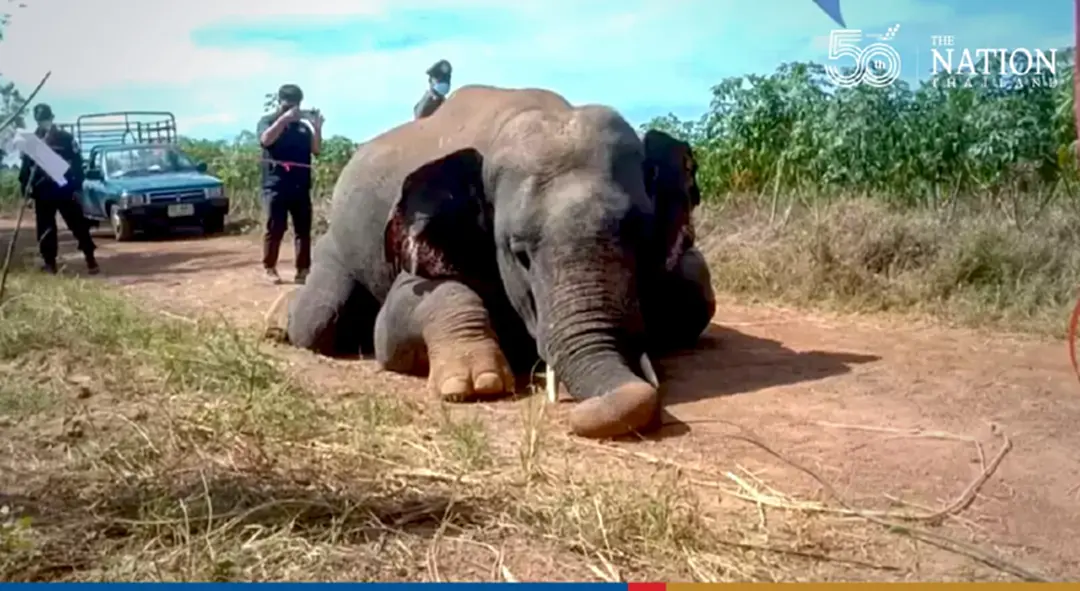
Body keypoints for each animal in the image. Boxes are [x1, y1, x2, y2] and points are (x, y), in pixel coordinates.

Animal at [275, 84, 715, 439]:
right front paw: (475, 383)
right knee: (317, 321)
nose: (628, 394)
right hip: (335, 244)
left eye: (641, 238)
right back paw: (278, 324)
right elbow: (397, 316)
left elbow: (690, 283)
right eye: (519, 254)